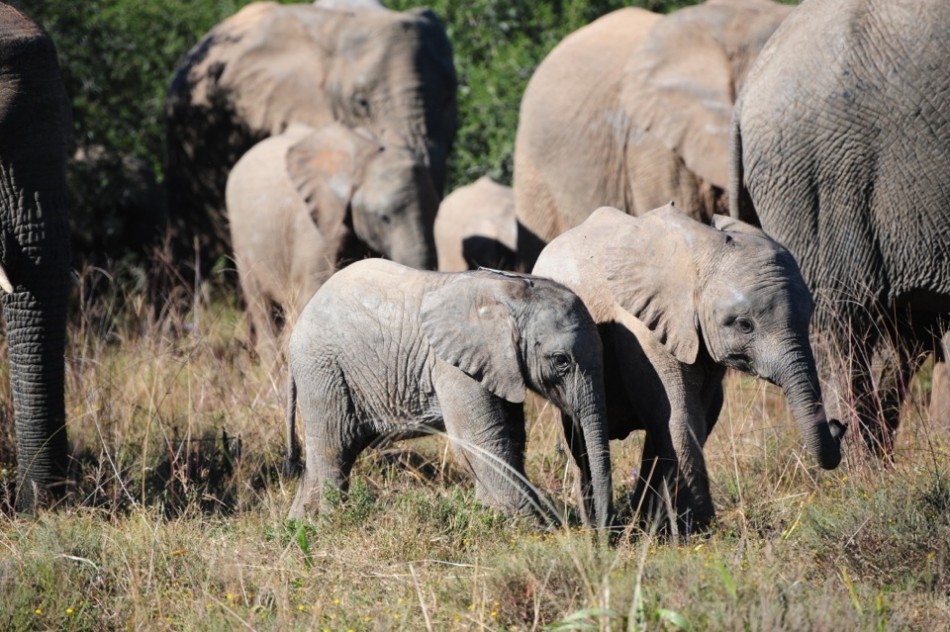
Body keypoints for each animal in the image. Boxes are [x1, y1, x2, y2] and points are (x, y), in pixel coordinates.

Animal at [283, 258, 613, 529]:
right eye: (561, 360)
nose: (599, 534)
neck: (509, 292)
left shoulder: (498, 366)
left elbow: (510, 438)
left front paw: (491, 517)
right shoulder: (454, 367)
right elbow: (481, 441)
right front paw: (541, 531)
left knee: (324, 458)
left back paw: (299, 527)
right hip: (323, 371)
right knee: (333, 452)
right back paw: (331, 524)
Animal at [533, 205, 845, 531]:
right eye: (744, 325)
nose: (838, 426)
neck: (702, 250)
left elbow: (697, 415)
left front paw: (667, 526)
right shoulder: (643, 332)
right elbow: (680, 413)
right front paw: (701, 529)